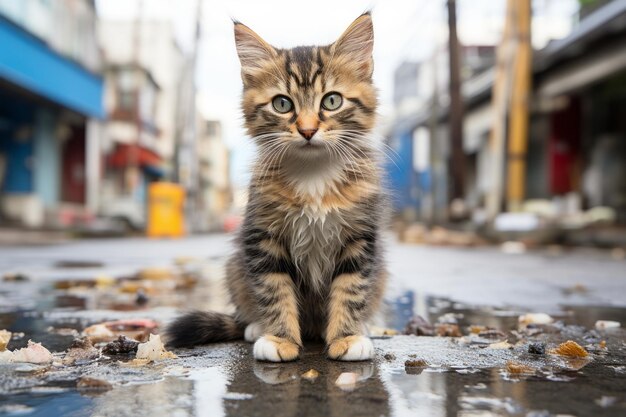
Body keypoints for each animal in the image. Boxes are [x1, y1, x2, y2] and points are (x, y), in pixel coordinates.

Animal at [166, 13, 386, 360]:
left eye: (332, 101)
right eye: (282, 104)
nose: (307, 130)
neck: (313, 174)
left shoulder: (360, 238)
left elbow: (351, 288)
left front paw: (347, 337)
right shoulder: (262, 237)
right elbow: (273, 289)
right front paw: (280, 338)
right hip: (235, 265)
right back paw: (255, 327)